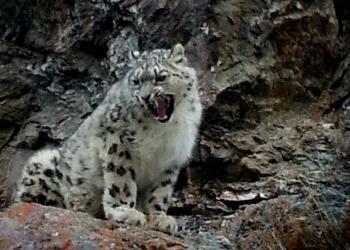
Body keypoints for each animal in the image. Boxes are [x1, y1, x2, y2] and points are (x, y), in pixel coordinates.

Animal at [13, 44, 202, 235]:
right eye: (136, 81)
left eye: (161, 77)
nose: (145, 97)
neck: (164, 130)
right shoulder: (117, 141)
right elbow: (121, 179)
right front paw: (125, 212)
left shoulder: (170, 160)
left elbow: (160, 191)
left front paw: (159, 218)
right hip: (43, 162)